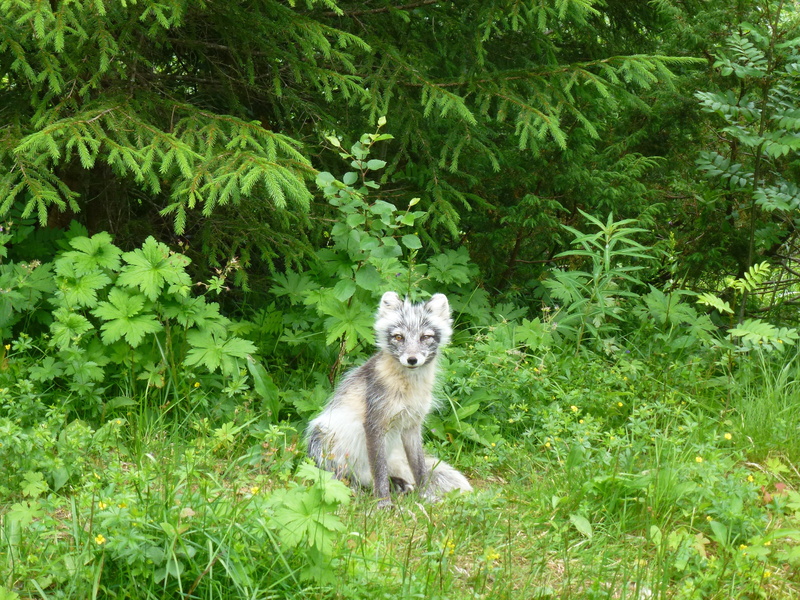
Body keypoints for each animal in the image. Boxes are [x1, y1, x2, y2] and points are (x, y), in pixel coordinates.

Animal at [306, 291, 472, 506]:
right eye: (399, 337)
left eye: (425, 337)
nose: (412, 359)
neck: (408, 389)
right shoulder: (375, 423)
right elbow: (380, 473)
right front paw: (383, 504)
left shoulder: (412, 425)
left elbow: (419, 469)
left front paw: (426, 496)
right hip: (321, 439)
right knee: (353, 477)